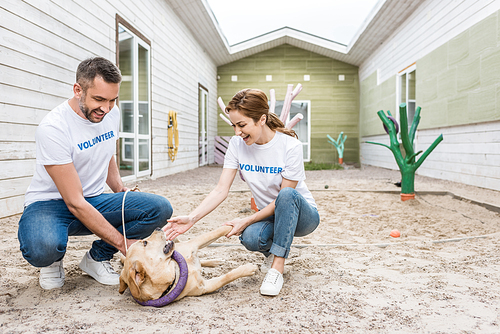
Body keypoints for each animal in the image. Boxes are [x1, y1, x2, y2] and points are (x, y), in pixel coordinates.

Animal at [118, 226, 256, 304]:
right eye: (145, 243)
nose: (158, 228)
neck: (175, 270)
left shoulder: (192, 244)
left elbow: (218, 231)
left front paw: (237, 223)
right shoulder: (206, 286)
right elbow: (227, 276)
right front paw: (249, 268)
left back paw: (216, 261)